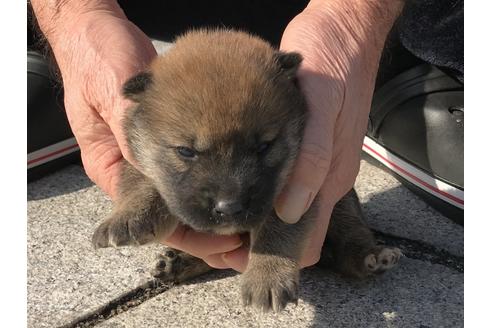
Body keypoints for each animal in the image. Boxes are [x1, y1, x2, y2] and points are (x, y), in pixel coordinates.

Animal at [91, 28, 400, 312]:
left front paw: (267, 277)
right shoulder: (137, 156)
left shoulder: (299, 190)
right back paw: (176, 263)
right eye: (186, 151)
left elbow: (277, 229)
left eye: (263, 146)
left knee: (351, 234)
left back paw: (371, 257)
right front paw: (126, 218)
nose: (229, 208)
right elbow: (140, 183)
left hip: (343, 202)